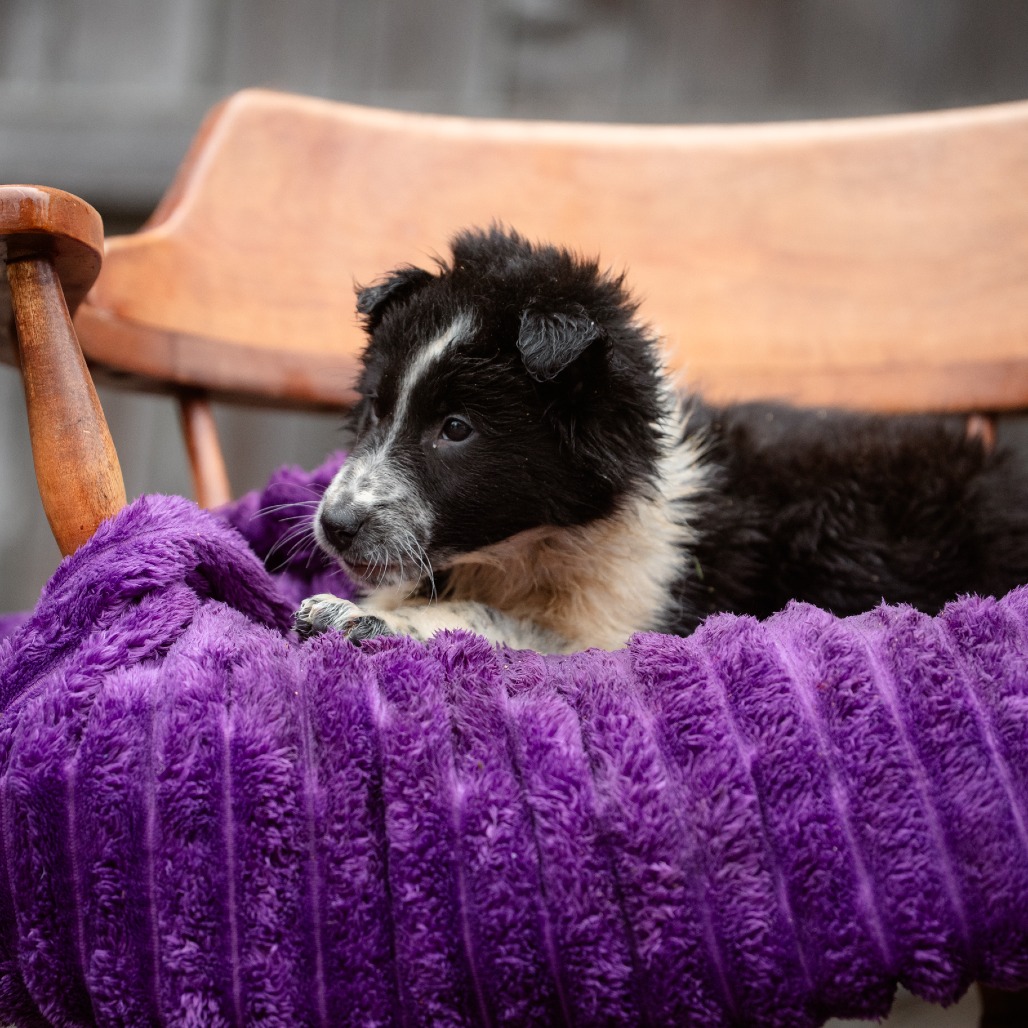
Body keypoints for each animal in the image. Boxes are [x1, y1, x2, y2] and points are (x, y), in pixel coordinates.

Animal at [295, 226, 1028, 653]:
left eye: (456, 429)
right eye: (376, 407)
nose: (334, 527)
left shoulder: (619, 621)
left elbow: (498, 621)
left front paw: (369, 619)